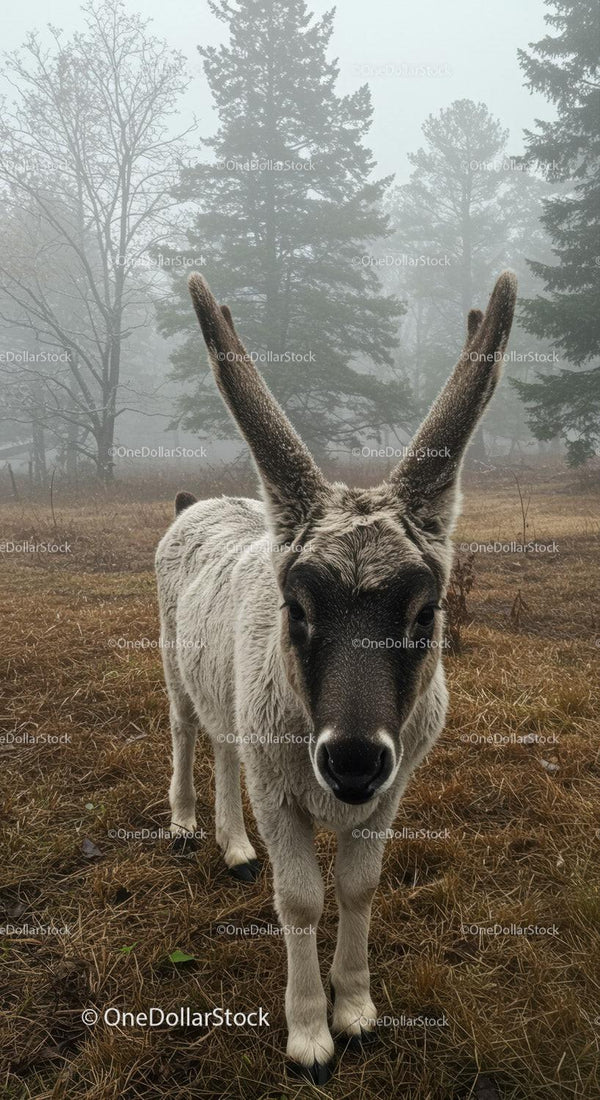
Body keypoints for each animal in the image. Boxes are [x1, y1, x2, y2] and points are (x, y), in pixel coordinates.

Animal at [155, 270, 517, 1084]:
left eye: (426, 607)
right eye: (296, 603)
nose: (351, 758)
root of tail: (192, 503)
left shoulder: (398, 779)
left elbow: (358, 885)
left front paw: (356, 1010)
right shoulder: (281, 785)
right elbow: (299, 900)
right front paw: (308, 1036)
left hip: (234, 700)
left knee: (225, 744)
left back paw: (234, 846)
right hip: (170, 659)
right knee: (188, 732)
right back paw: (188, 825)